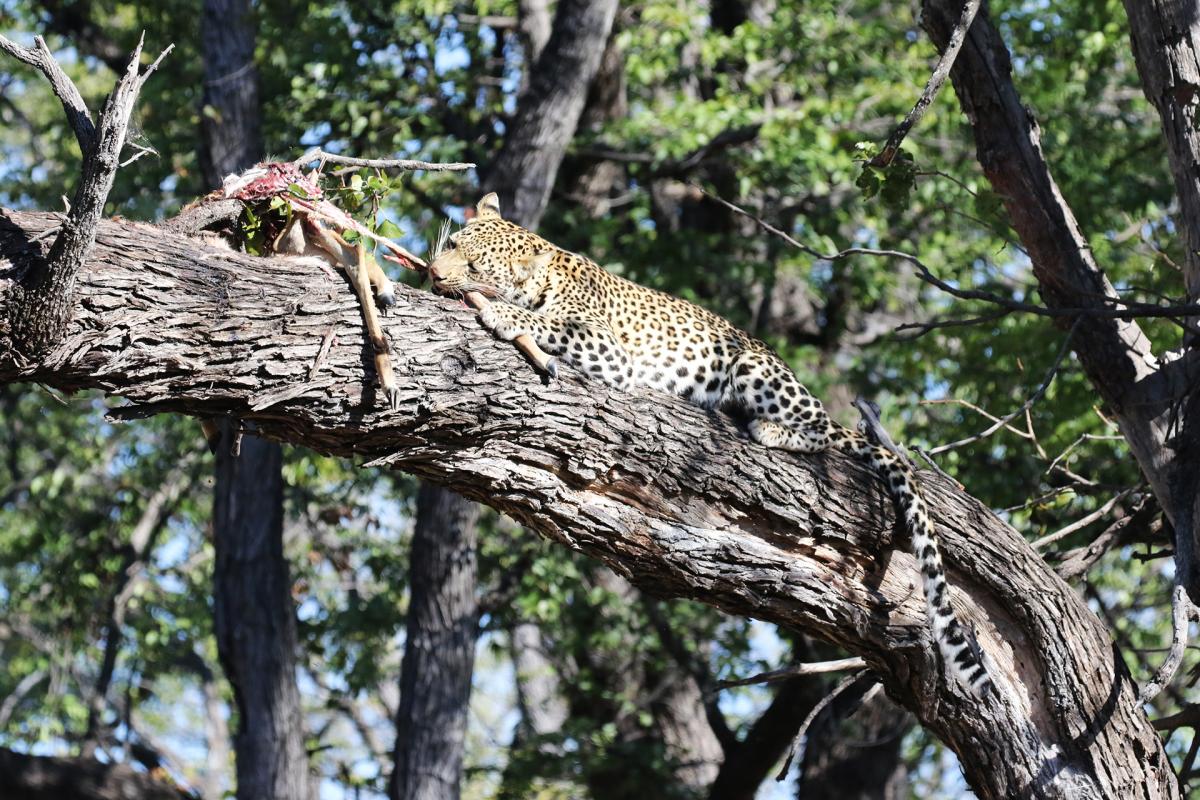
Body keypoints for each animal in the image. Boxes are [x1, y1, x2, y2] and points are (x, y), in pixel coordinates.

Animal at [429, 190, 993, 695]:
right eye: (452, 243)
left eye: (475, 265)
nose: (434, 273)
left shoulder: (609, 349)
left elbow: (545, 322)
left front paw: (503, 315)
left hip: (755, 369)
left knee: (821, 434)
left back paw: (767, 427)